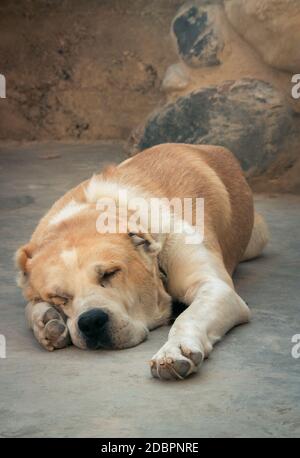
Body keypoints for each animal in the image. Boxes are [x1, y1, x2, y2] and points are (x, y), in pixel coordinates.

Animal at [14, 143, 270, 380]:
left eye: (110, 273)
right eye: (59, 297)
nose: (91, 321)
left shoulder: (215, 287)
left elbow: (189, 316)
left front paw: (175, 350)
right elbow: (29, 306)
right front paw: (46, 321)